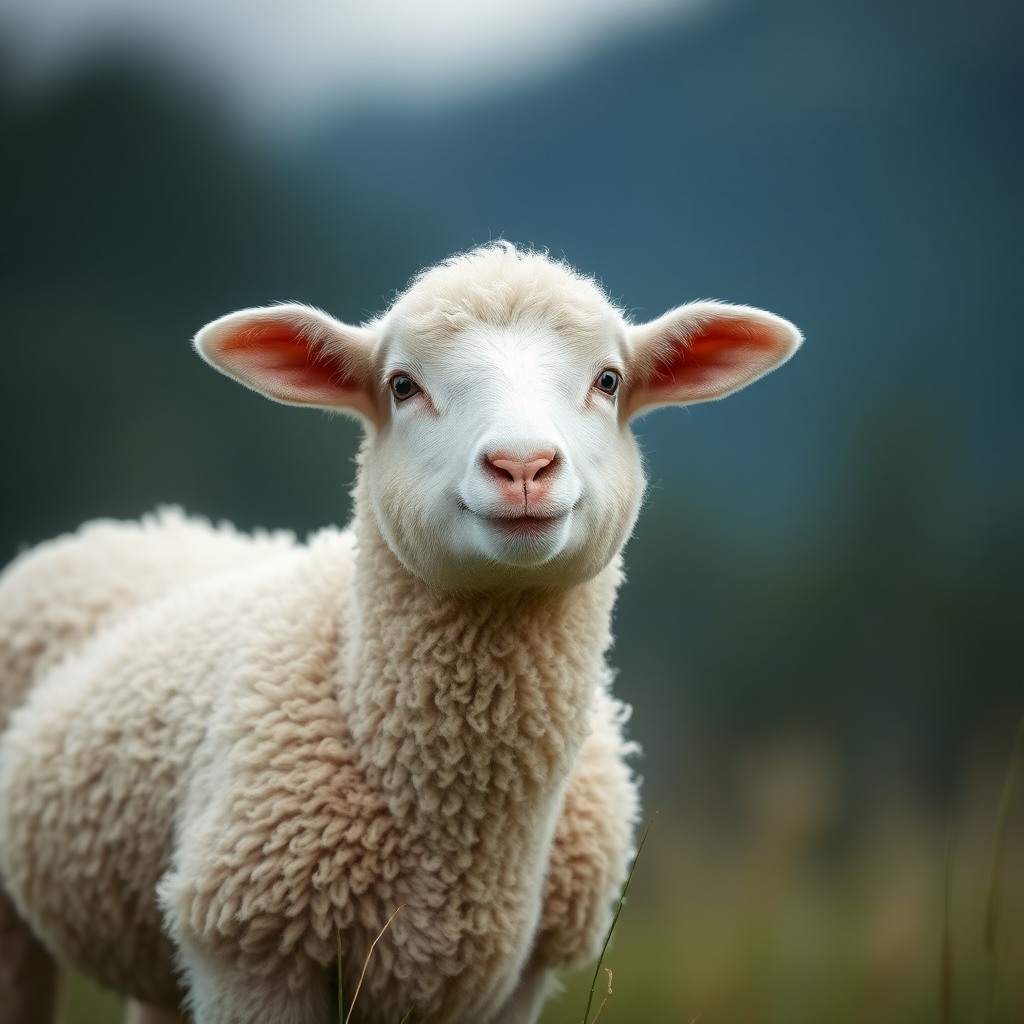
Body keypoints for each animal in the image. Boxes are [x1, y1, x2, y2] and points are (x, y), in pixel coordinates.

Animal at [0, 243, 801, 1024]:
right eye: (403, 386)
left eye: (608, 381)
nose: (522, 466)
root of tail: (137, 524)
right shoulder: (251, 956)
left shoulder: (517, 982)